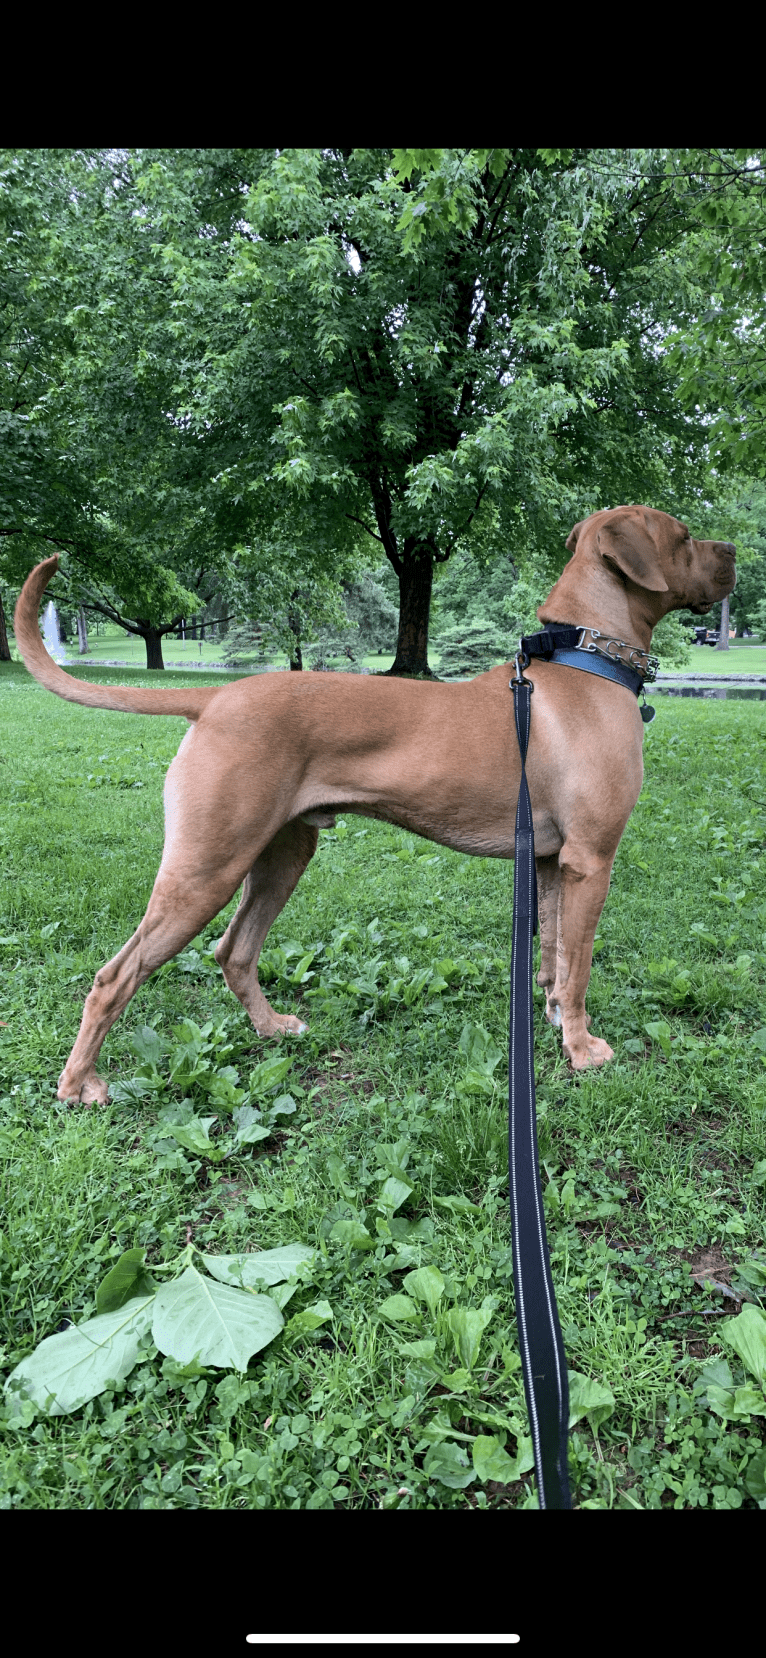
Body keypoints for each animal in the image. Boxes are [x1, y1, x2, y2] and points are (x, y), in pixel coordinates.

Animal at [13, 504, 736, 1100]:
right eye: (682, 537)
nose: (733, 549)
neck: (582, 659)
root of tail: (216, 697)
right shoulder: (591, 859)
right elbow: (580, 968)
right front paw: (583, 1050)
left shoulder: (552, 862)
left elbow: (556, 960)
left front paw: (557, 1025)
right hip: (204, 869)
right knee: (116, 977)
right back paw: (79, 1084)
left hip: (281, 856)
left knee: (234, 952)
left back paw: (271, 1027)